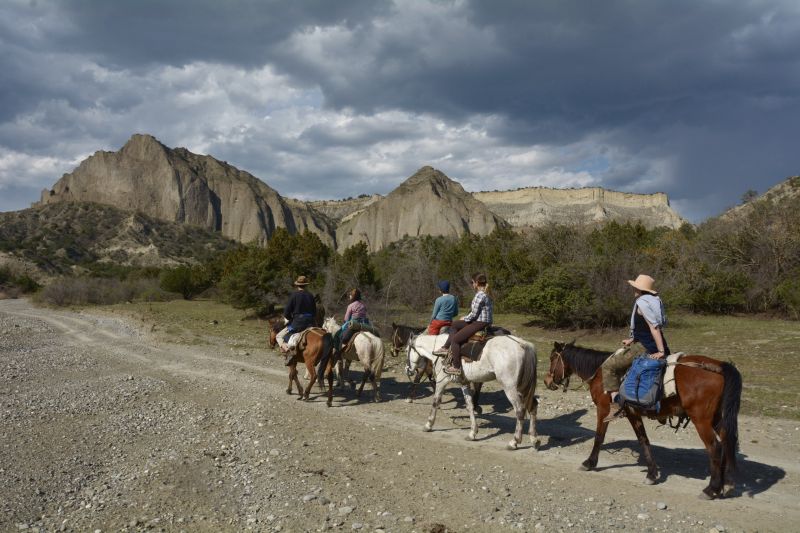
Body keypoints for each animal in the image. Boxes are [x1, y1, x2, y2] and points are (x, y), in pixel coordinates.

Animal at [404, 332, 540, 448]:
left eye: (406, 351)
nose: (407, 370)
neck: (437, 348)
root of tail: (523, 345)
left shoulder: (442, 381)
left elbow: (435, 401)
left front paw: (428, 425)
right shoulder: (464, 383)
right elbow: (469, 406)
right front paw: (472, 433)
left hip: (510, 387)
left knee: (520, 410)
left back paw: (514, 441)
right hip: (523, 387)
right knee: (533, 406)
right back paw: (534, 439)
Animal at [544, 340, 744, 498]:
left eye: (552, 358)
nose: (547, 381)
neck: (600, 373)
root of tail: (720, 366)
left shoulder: (603, 410)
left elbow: (599, 437)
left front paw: (589, 463)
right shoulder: (633, 414)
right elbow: (643, 440)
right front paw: (652, 474)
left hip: (701, 420)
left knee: (715, 448)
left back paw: (712, 489)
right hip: (717, 419)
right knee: (726, 442)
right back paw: (726, 484)